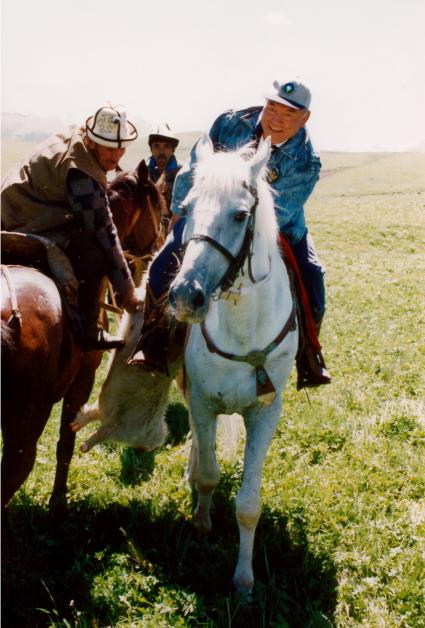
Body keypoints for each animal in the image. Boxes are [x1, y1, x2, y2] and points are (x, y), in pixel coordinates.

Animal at [1, 159, 168, 508]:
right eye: (161, 212)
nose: (159, 251)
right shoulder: (82, 380)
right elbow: (66, 441)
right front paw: (57, 504)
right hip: (25, 422)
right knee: (16, 469)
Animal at [167, 135, 296, 596]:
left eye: (240, 214)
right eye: (186, 208)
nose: (185, 296)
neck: (243, 328)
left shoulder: (265, 412)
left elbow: (248, 504)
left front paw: (243, 579)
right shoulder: (203, 401)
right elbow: (208, 473)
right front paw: (202, 525)